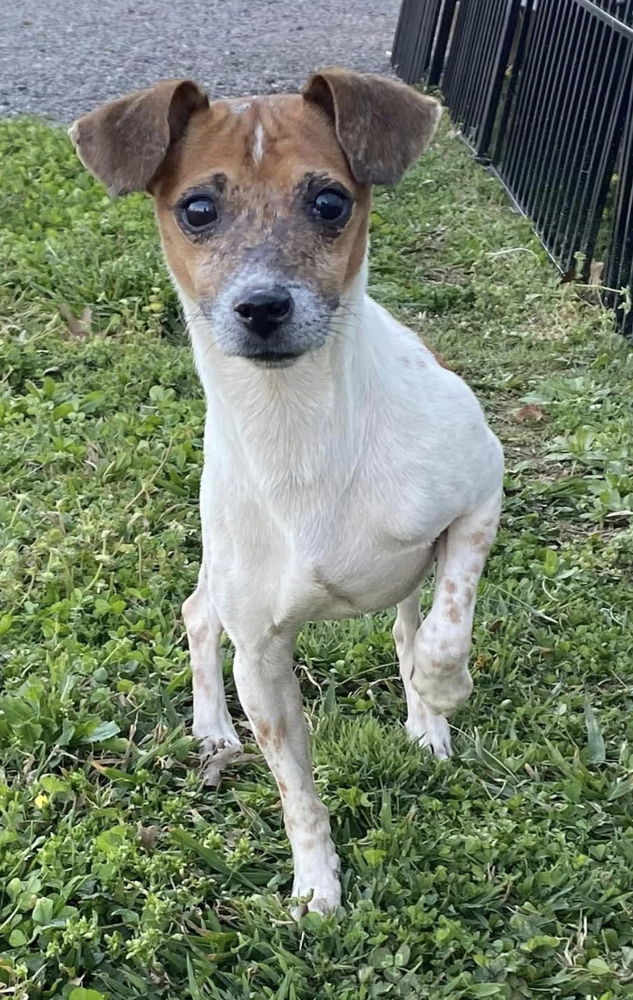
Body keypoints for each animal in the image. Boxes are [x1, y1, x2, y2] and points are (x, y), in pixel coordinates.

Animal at [69, 68, 504, 916]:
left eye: (329, 202)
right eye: (196, 209)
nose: (262, 306)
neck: (299, 433)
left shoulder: (480, 496)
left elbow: (442, 635)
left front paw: (441, 695)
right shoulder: (261, 660)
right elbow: (296, 789)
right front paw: (315, 886)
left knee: (408, 625)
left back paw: (424, 717)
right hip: (218, 563)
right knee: (196, 611)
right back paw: (211, 728)